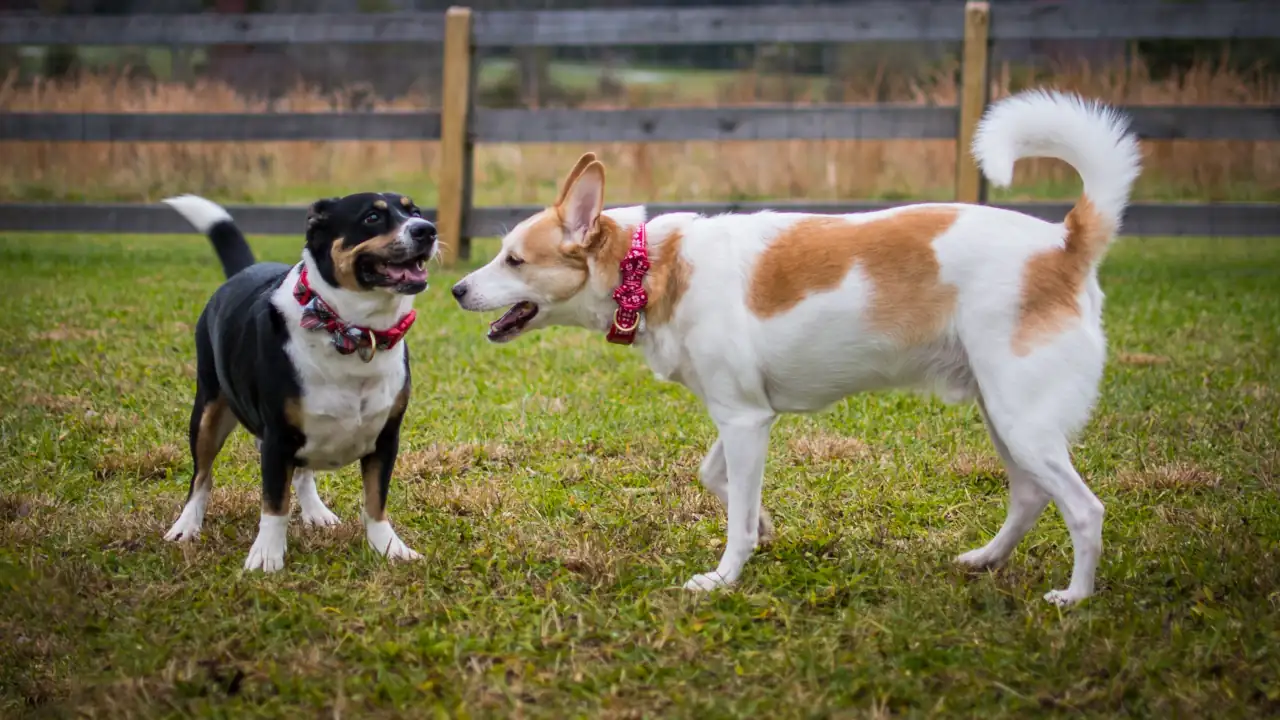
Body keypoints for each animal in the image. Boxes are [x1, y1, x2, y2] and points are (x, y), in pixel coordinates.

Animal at [162, 192, 435, 571]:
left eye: (415, 211)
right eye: (371, 217)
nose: (427, 230)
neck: (351, 332)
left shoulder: (386, 437)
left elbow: (375, 501)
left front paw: (389, 547)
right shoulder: (277, 438)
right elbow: (275, 504)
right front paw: (267, 555)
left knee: (304, 473)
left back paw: (316, 512)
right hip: (208, 409)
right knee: (201, 477)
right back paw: (186, 525)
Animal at [448, 90, 1141, 604]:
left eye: (513, 259)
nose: (455, 288)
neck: (647, 268)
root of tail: (1064, 242)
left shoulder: (745, 421)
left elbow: (732, 520)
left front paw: (724, 577)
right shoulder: (741, 415)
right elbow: (719, 481)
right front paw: (764, 526)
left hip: (1023, 418)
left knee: (1085, 510)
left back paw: (1074, 599)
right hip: (1004, 416)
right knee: (1029, 497)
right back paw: (986, 560)